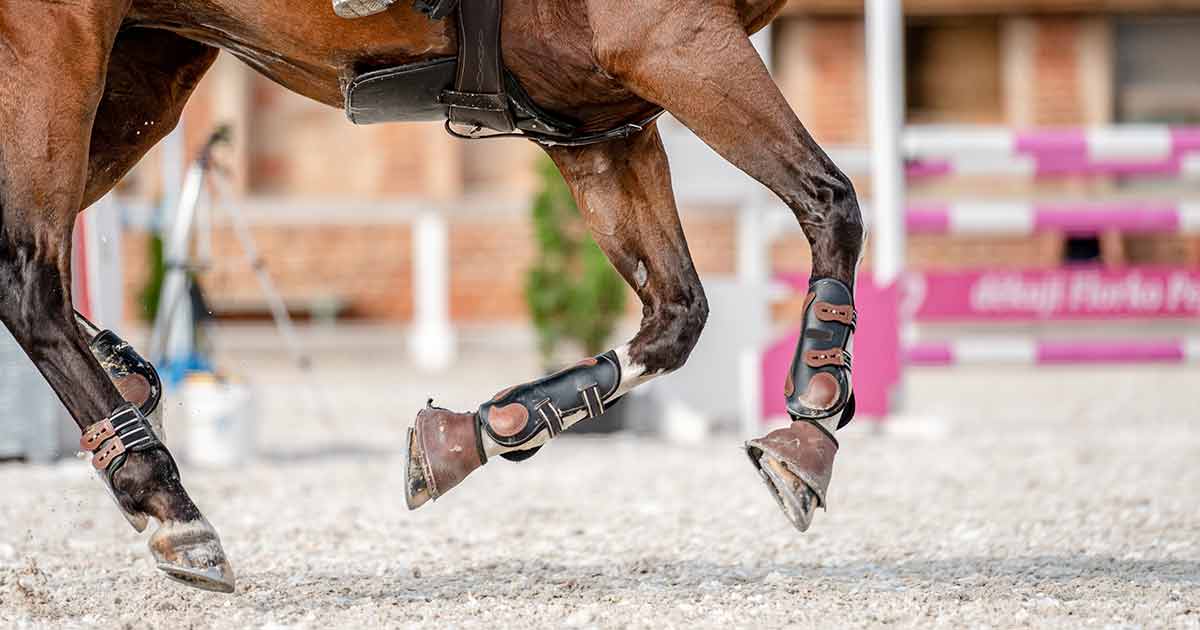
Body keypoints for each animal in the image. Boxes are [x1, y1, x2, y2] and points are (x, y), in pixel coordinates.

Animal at [0, 0, 863, 593]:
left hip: (144, 68)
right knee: (30, 278)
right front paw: (812, 425)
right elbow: (832, 202)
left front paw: (477, 434)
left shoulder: (605, 123)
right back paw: (170, 505)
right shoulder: (673, 39)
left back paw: (128, 378)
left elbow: (677, 313)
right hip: (55, 50)